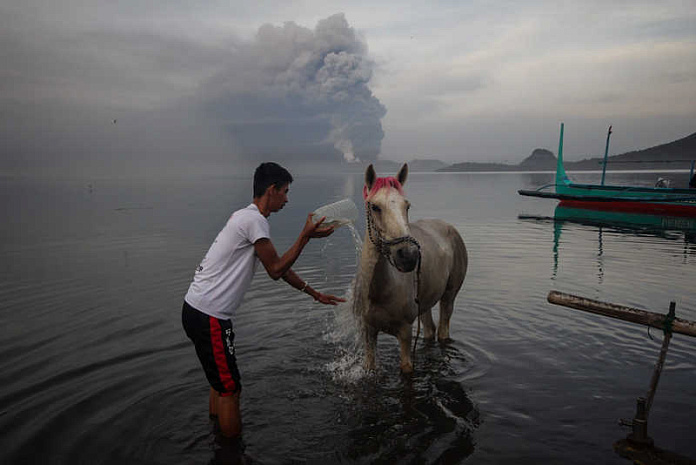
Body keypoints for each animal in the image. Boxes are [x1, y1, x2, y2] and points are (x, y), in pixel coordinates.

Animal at [354, 163, 468, 374]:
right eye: (375, 207)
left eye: (407, 206)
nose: (408, 255)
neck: (378, 290)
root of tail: (448, 226)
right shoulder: (368, 332)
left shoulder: (405, 332)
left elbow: (406, 368)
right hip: (424, 303)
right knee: (430, 330)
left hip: (449, 296)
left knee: (443, 330)